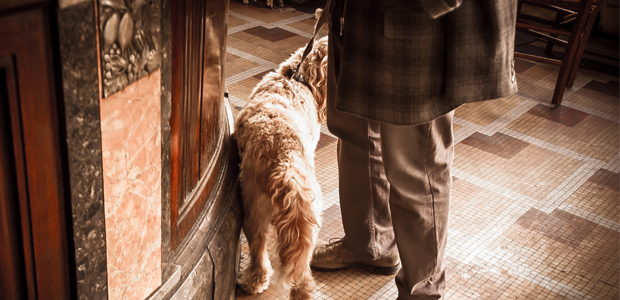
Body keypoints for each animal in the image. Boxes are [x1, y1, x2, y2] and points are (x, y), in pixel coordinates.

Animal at [234, 36, 330, 298]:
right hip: (306, 219)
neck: (296, 77)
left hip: (254, 207)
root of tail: (285, 164)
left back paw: (255, 280)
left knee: (259, 248)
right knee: (301, 268)